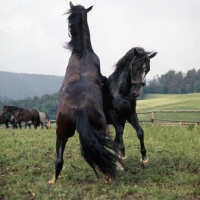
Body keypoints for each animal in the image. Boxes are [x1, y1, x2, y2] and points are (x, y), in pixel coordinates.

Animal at [48, 1, 117, 185]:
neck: (82, 53)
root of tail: (78, 109)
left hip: (60, 133)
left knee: (59, 160)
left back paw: (53, 181)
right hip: (98, 129)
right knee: (101, 155)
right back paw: (108, 178)